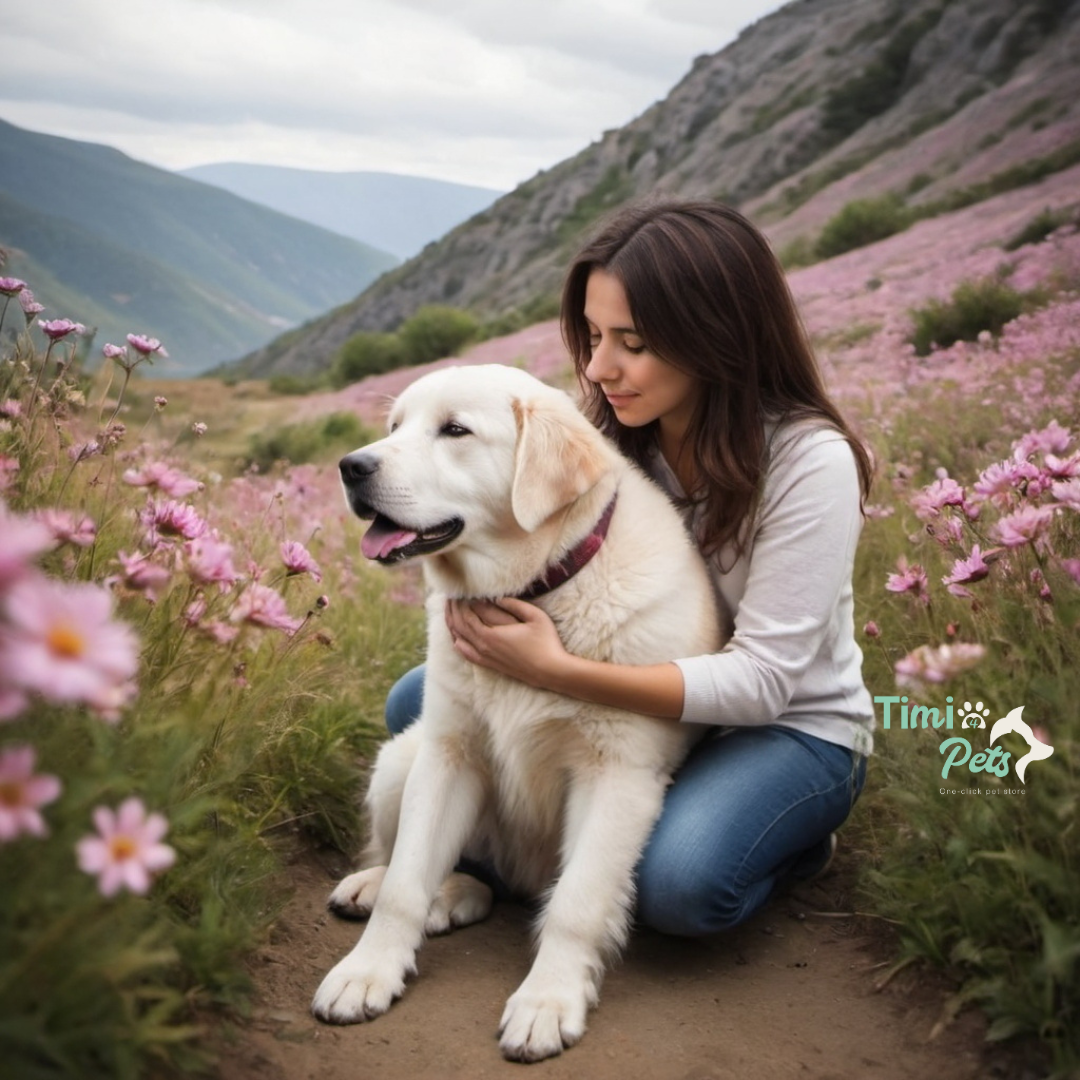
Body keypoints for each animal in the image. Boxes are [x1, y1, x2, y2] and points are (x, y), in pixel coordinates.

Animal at [315, 367, 721, 1058]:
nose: (351, 466)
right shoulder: (449, 753)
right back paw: (395, 888)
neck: (534, 594)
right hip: (401, 760)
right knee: (418, 863)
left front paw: (546, 1002)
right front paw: (366, 972)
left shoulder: (618, 778)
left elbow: (576, 905)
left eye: (455, 430)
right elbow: (405, 883)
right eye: (395, 426)